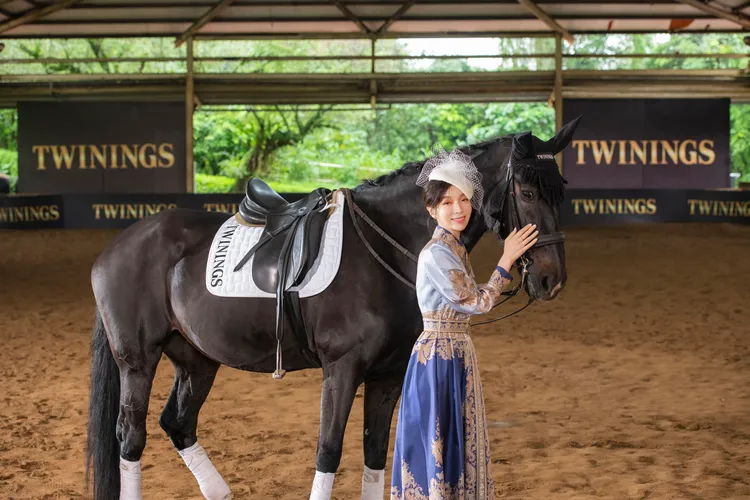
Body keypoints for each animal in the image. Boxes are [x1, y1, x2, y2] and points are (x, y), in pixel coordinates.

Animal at [86, 117, 581, 500]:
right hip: (137, 362)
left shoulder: (386, 376)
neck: (387, 245)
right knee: (131, 437)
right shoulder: (341, 369)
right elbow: (329, 450)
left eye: (560, 192)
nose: (552, 281)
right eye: (528, 193)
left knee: (178, 423)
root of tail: (117, 247)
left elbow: (375, 453)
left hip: (197, 360)